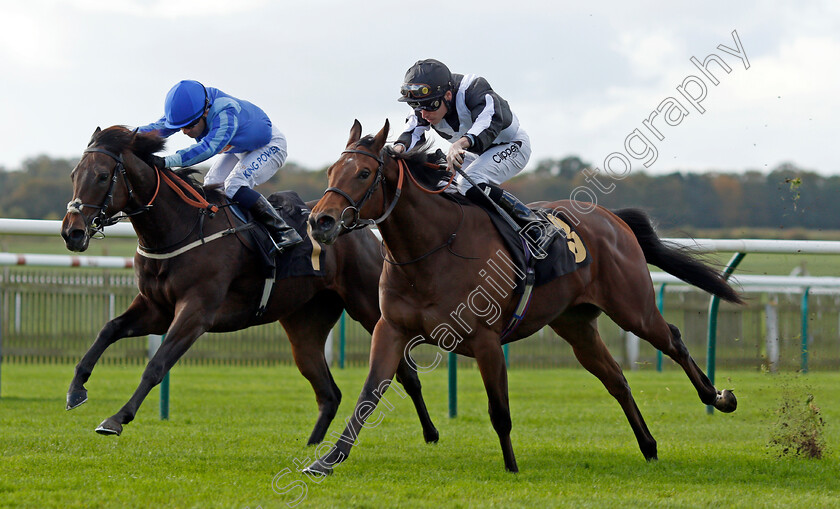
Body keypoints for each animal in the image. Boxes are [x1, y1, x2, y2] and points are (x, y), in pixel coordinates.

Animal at [59, 124, 440, 444]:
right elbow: (108, 330)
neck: (179, 227)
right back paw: (312, 447)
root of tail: (358, 228)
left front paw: (116, 418)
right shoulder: (155, 308)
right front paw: (76, 389)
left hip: (371, 308)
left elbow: (157, 365)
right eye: (74, 174)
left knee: (407, 375)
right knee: (329, 392)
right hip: (304, 324)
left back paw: (431, 433)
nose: (72, 232)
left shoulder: (196, 312)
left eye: (103, 176)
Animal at [304, 121, 740, 474]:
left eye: (363, 172)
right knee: (616, 379)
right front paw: (327, 461)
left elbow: (500, 410)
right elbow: (369, 394)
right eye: (330, 171)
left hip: (633, 308)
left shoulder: (485, 340)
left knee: (672, 339)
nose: (319, 221)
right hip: (576, 325)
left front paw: (511, 467)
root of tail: (613, 218)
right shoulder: (390, 329)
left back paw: (718, 397)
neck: (433, 247)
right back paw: (648, 446)